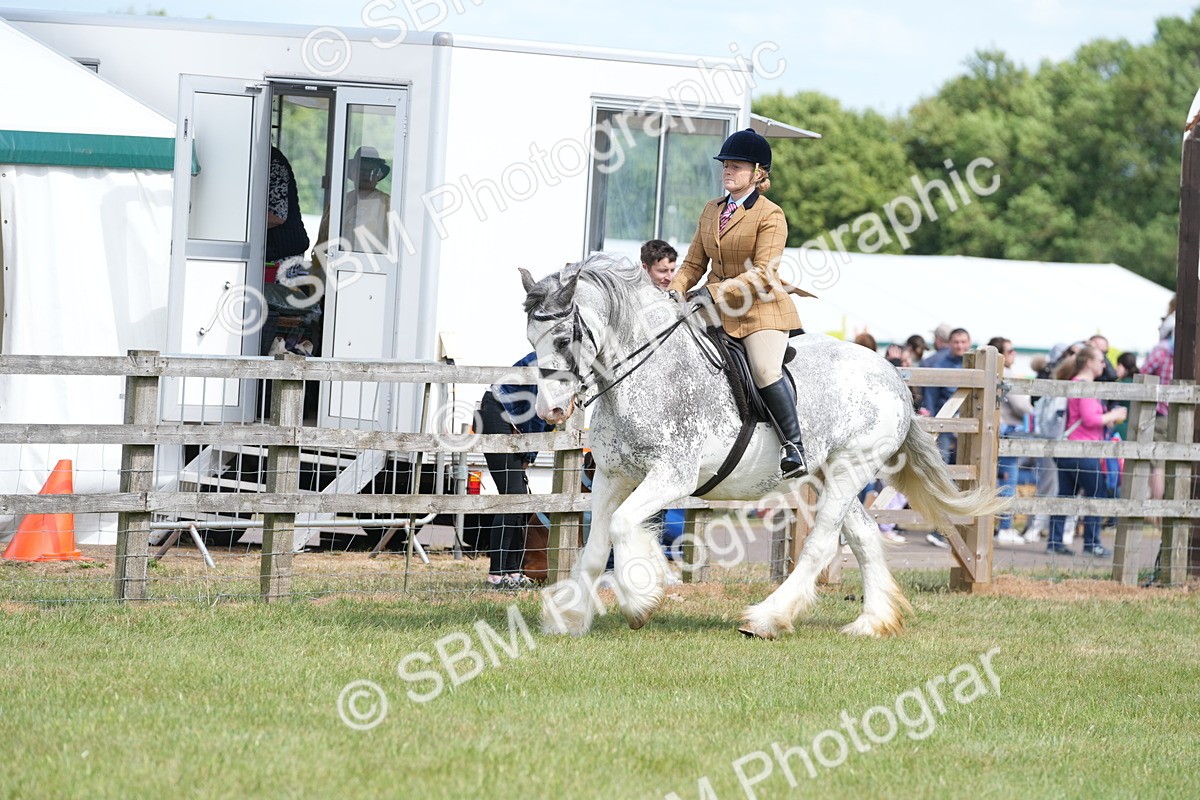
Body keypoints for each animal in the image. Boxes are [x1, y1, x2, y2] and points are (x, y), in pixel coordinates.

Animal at [520, 254, 1005, 639]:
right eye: (531, 341)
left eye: (563, 339)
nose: (550, 411)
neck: (646, 373)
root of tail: (892, 375)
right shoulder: (611, 477)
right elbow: (594, 548)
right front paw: (569, 618)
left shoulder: (671, 477)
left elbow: (622, 527)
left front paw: (641, 598)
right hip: (831, 471)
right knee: (864, 535)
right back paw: (871, 622)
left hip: (851, 467)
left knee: (820, 545)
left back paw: (767, 618)